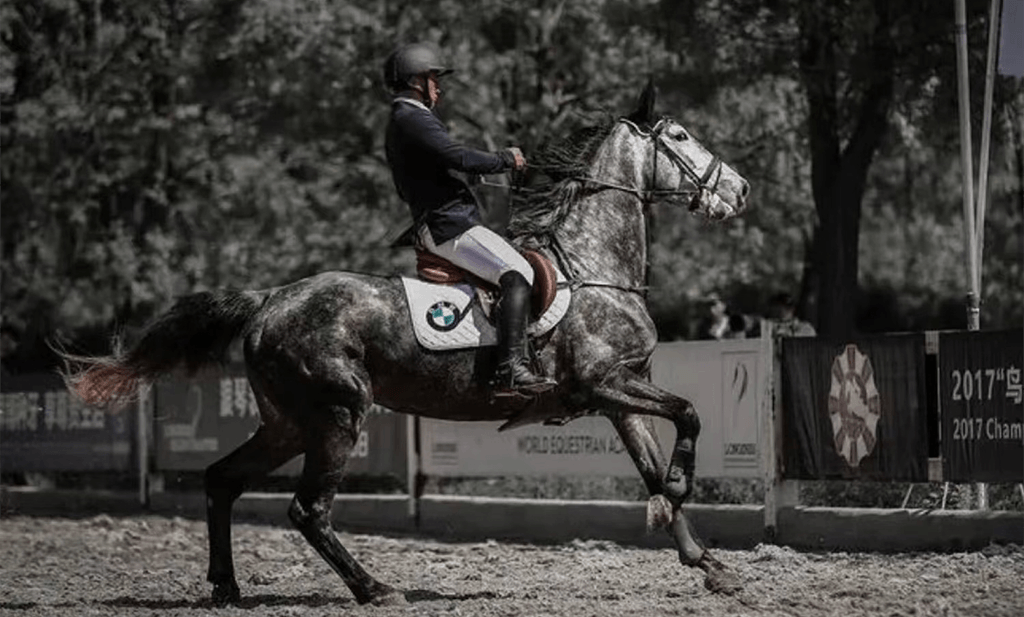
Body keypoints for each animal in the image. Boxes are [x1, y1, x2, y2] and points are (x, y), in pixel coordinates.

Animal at [64, 83, 753, 609]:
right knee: (307, 510)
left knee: (222, 481)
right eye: (681, 136)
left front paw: (707, 561)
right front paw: (683, 489)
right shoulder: (605, 382)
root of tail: (269, 299)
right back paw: (374, 589)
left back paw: (227, 588)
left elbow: (652, 466)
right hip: (337, 414)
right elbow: (689, 414)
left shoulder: (619, 395)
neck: (591, 266)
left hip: (288, 422)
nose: (740, 189)